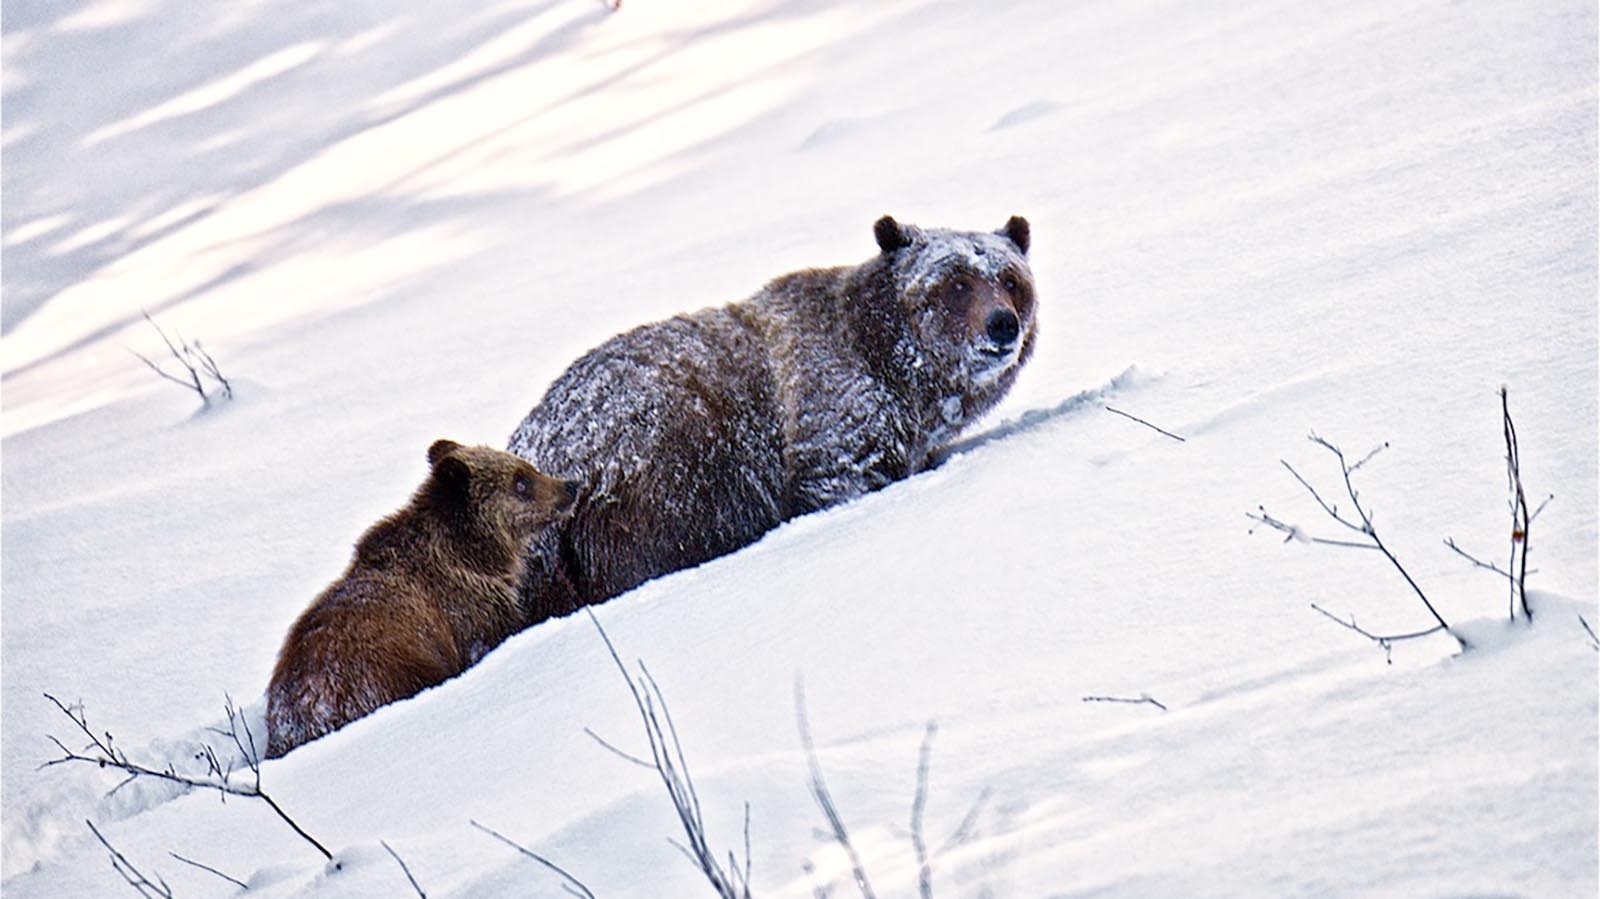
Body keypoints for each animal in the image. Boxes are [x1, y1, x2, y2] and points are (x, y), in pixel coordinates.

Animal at [507, 214, 1036, 620]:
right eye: (957, 283)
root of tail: (532, 443)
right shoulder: (832, 420)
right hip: (658, 475)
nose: (1001, 324)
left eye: (1010, 280)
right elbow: (837, 478)